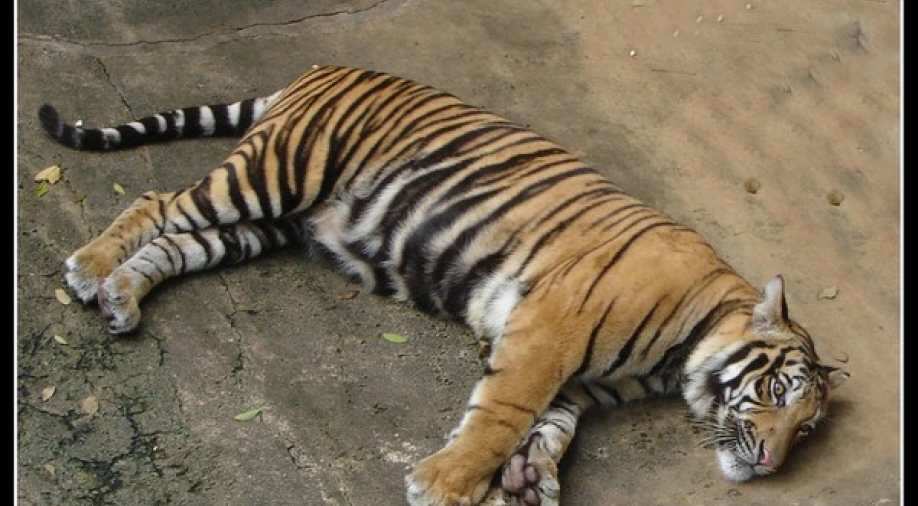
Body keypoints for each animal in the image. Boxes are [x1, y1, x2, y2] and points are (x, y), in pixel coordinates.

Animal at [39, 65, 850, 506]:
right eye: (779, 393)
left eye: (807, 429)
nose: (772, 464)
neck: (682, 352)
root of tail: (320, 70)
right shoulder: (546, 334)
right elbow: (499, 415)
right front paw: (447, 483)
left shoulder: (576, 384)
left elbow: (548, 430)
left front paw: (531, 481)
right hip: (274, 174)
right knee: (156, 203)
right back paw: (88, 269)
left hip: (269, 224)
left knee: (178, 242)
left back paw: (122, 296)